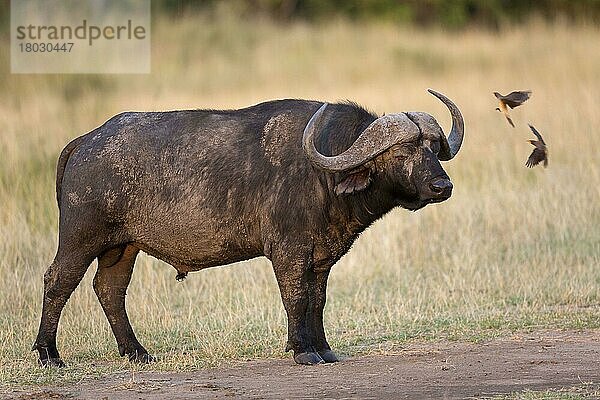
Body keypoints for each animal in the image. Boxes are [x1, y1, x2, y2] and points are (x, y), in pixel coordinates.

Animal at [32, 89, 464, 368]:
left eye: (432, 147)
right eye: (403, 152)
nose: (442, 186)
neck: (322, 172)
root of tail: (85, 142)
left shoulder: (322, 258)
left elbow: (318, 300)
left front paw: (325, 349)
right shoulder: (289, 254)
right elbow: (296, 297)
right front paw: (303, 350)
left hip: (122, 247)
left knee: (109, 289)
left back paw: (136, 351)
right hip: (81, 238)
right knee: (58, 281)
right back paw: (49, 355)